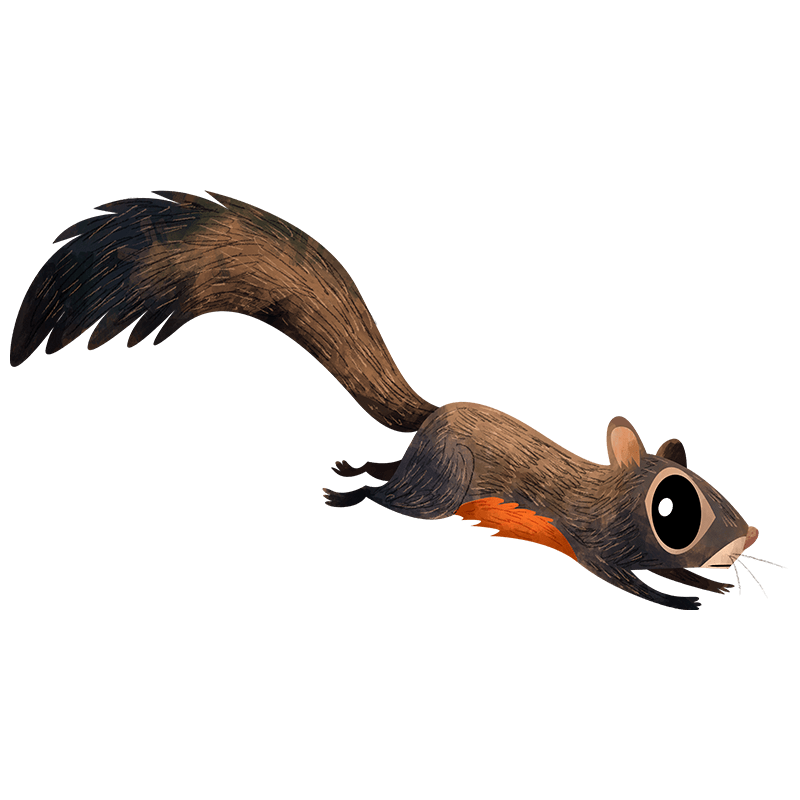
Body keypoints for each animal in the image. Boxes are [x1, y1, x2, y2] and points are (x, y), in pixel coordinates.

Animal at [10, 190, 783, 610]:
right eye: (674, 507)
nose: (746, 537)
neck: (607, 491)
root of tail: (432, 415)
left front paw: (717, 587)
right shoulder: (591, 540)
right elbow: (627, 582)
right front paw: (684, 596)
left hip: (428, 471)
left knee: (390, 472)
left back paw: (355, 471)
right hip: (440, 487)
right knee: (392, 498)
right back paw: (348, 494)